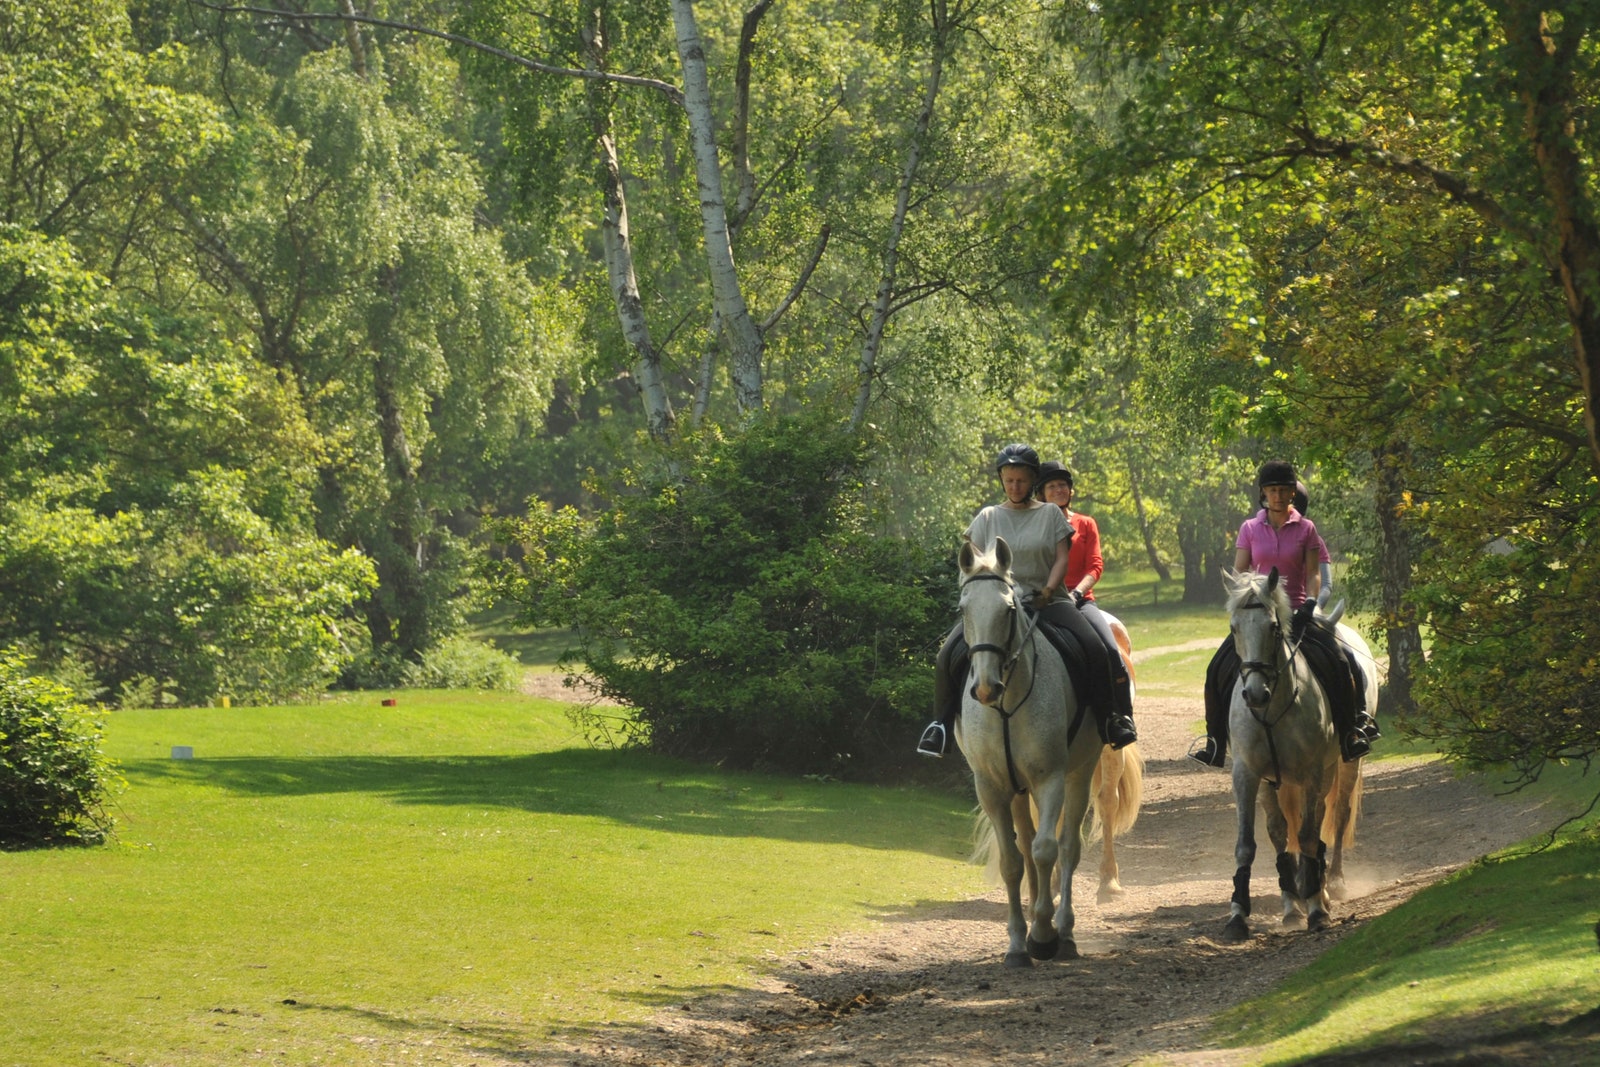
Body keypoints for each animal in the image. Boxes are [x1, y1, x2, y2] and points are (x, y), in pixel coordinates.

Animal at [947, 537, 1100, 966]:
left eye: (1009, 609)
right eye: (963, 609)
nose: (985, 688)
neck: (1007, 703)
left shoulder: (1051, 779)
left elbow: (1047, 850)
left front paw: (1044, 936)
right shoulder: (991, 787)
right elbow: (1013, 862)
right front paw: (1018, 943)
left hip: (1081, 772)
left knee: (1067, 847)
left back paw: (1065, 933)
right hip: (1016, 790)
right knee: (1027, 848)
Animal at [1216, 572, 1369, 940]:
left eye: (1273, 627)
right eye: (1234, 627)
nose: (1255, 694)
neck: (1273, 708)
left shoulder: (1313, 772)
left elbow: (1310, 836)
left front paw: (1316, 909)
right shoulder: (1248, 774)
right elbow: (1253, 842)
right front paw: (1239, 915)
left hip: (1341, 767)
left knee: (1335, 816)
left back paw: (1330, 885)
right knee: (1286, 828)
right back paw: (1295, 897)